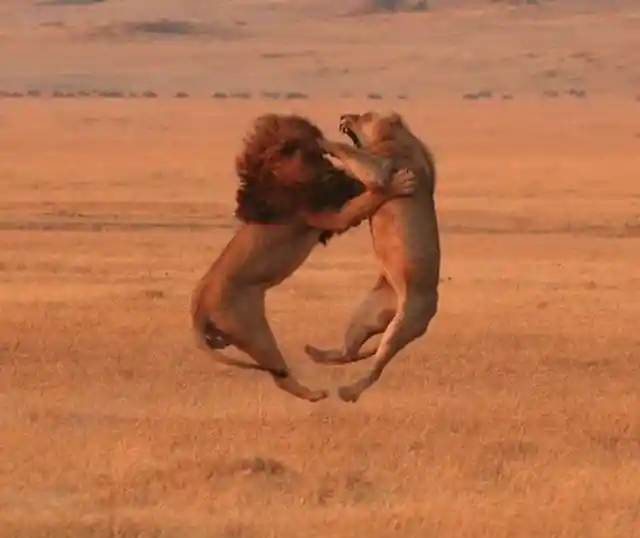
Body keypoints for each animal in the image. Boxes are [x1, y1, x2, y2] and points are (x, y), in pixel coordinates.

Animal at [190, 113, 416, 400]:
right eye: (313, 152)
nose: (328, 162)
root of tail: (197, 307)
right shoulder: (328, 215)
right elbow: (367, 198)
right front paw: (399, 183)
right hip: (254, 331)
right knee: (280, 375)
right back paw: (316, 395)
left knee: (277, 375)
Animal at [304, 111, 440, 400]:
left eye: (364, 116)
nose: (344, 115)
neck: (396, 136)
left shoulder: (382, 167)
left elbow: (351, 153)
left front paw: (321, 140)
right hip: (367, 313)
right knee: (348, 352)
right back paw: (317, 354)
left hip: (403, 324)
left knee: (376, 366)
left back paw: (349, 392)